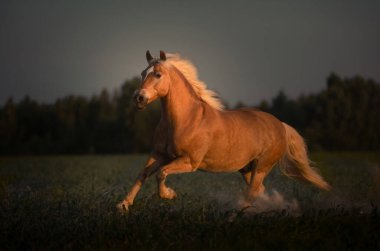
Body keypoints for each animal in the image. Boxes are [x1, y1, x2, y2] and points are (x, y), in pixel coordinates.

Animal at [117, 50, 332, 211]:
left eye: (158, 74)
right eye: (142, 73)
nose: (139, 98)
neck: (186, 119)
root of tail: (280, 125)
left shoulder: (189, 161)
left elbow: (161, 174)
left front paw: (170, 194)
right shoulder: (159, 155)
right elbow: (143, 174)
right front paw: (123, 205)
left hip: (262, 166)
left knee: (252, 192)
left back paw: (235, 216)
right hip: (247, 169)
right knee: (259, 190)